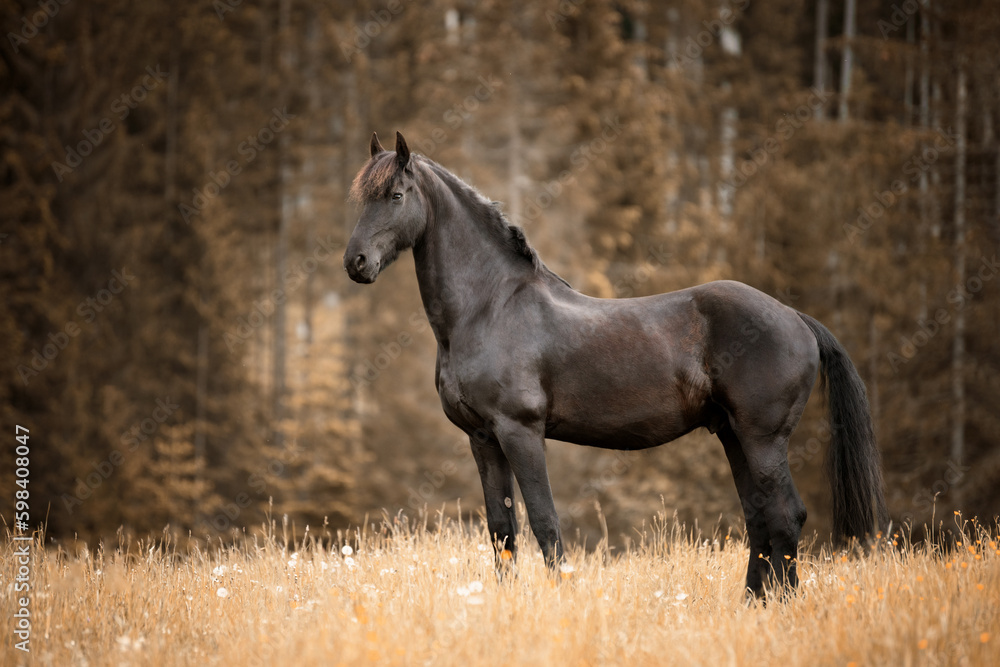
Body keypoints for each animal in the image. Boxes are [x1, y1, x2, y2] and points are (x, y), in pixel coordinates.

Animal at [344, 131, 888, 598]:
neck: (491, 306)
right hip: (734, 435)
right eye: (360, 199)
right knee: (760, 520)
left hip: (763, 438)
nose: (356, 263)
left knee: (786, 517)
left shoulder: (520, 431)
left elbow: (544, 523)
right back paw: (754, 603)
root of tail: (795, 317)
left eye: (396, 194)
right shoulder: (482, 438)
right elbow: (502, 531)